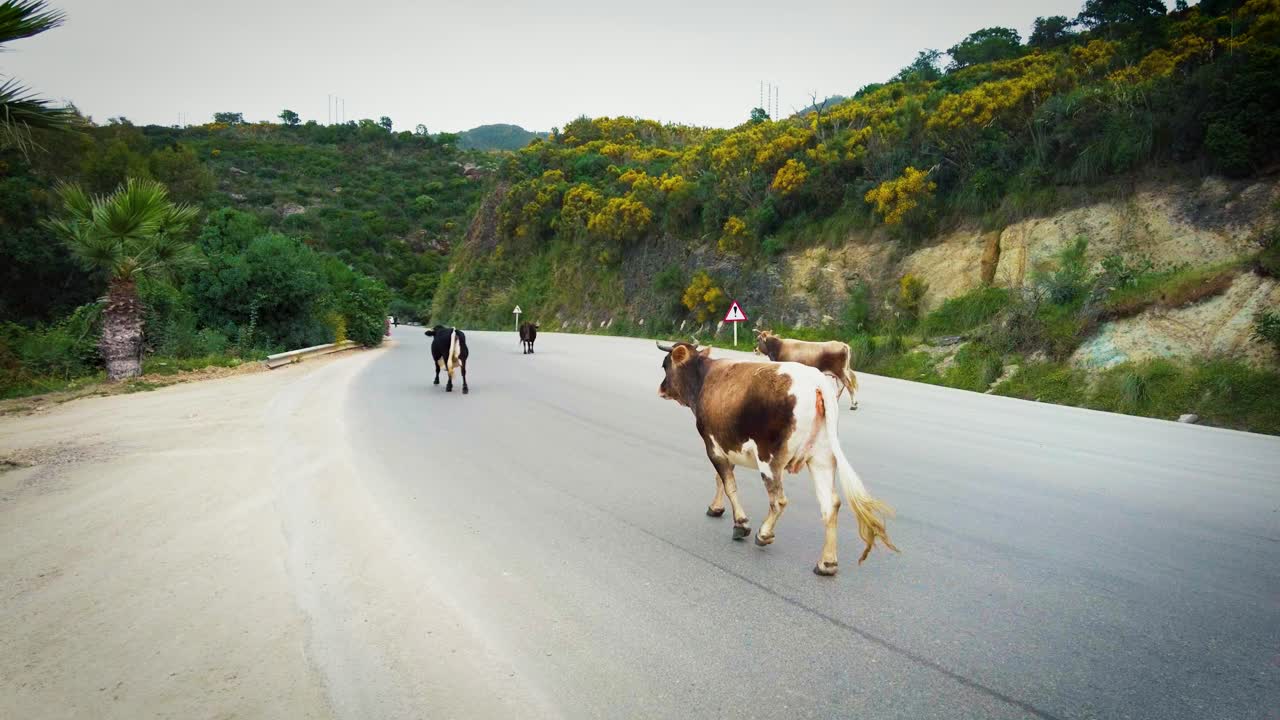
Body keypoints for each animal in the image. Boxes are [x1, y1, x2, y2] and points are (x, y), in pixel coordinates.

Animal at [656, 341, 896, 575]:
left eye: (665, 365)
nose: (662, 388)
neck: (703, 377)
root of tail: (817, 383)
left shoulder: (713, 446)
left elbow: (728, 484)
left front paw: (741, 523)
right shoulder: (726, 445)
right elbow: (721, 480)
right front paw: (716, 508)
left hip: (770, 459)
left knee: (779, 500)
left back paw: (764, 534)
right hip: (822, 458)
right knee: (830, 504)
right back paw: (827, 563)